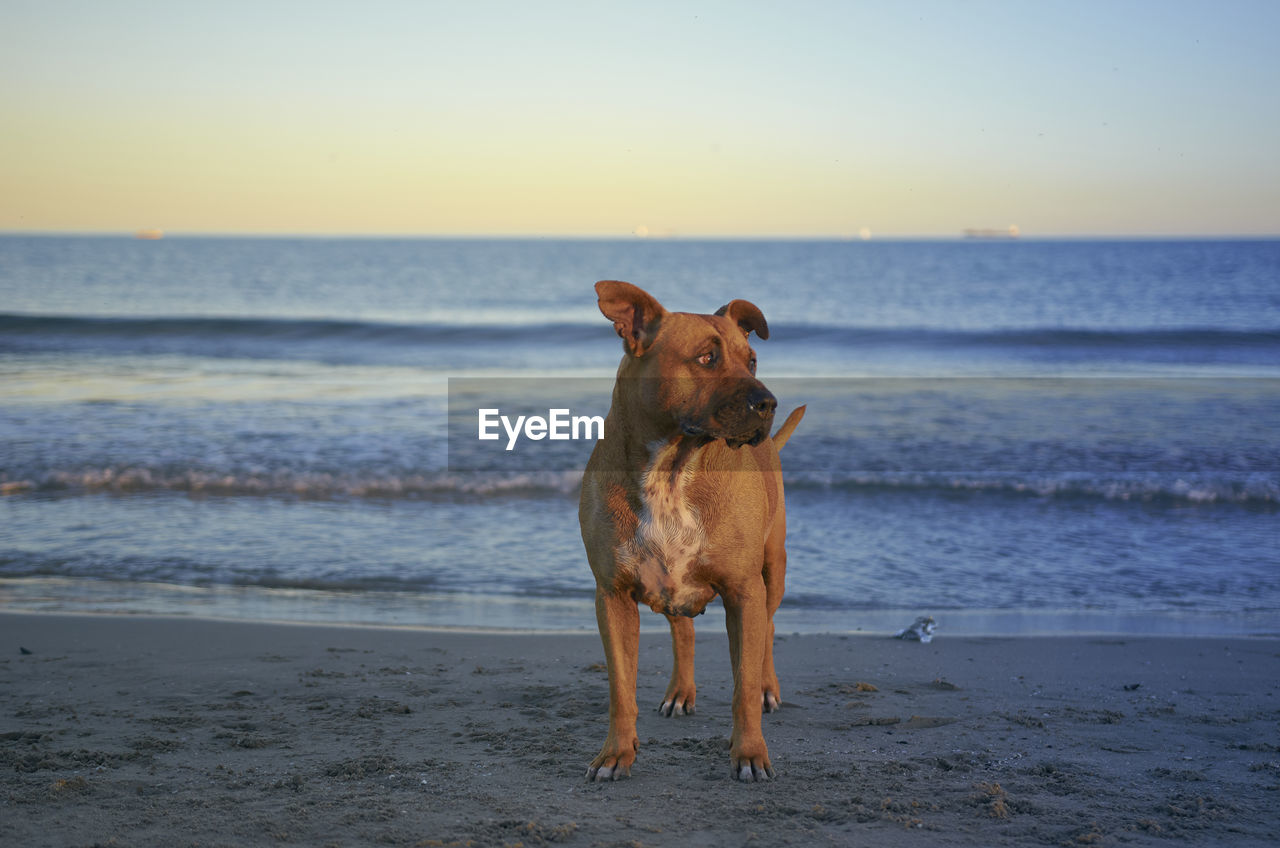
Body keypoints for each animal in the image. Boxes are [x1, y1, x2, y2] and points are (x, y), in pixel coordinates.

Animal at [578, 281, 798, 789]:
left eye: (751, 360)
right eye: (706, 358)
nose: (768, 404)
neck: (672, 468)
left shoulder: (743, 591)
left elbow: (742, 686)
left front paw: (750, 752)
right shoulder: (612, 596)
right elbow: (621, 688)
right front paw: (616, 753)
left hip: (772, 570)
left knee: (768, 629)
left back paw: (768, 687)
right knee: (684, 630)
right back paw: (681, 691)